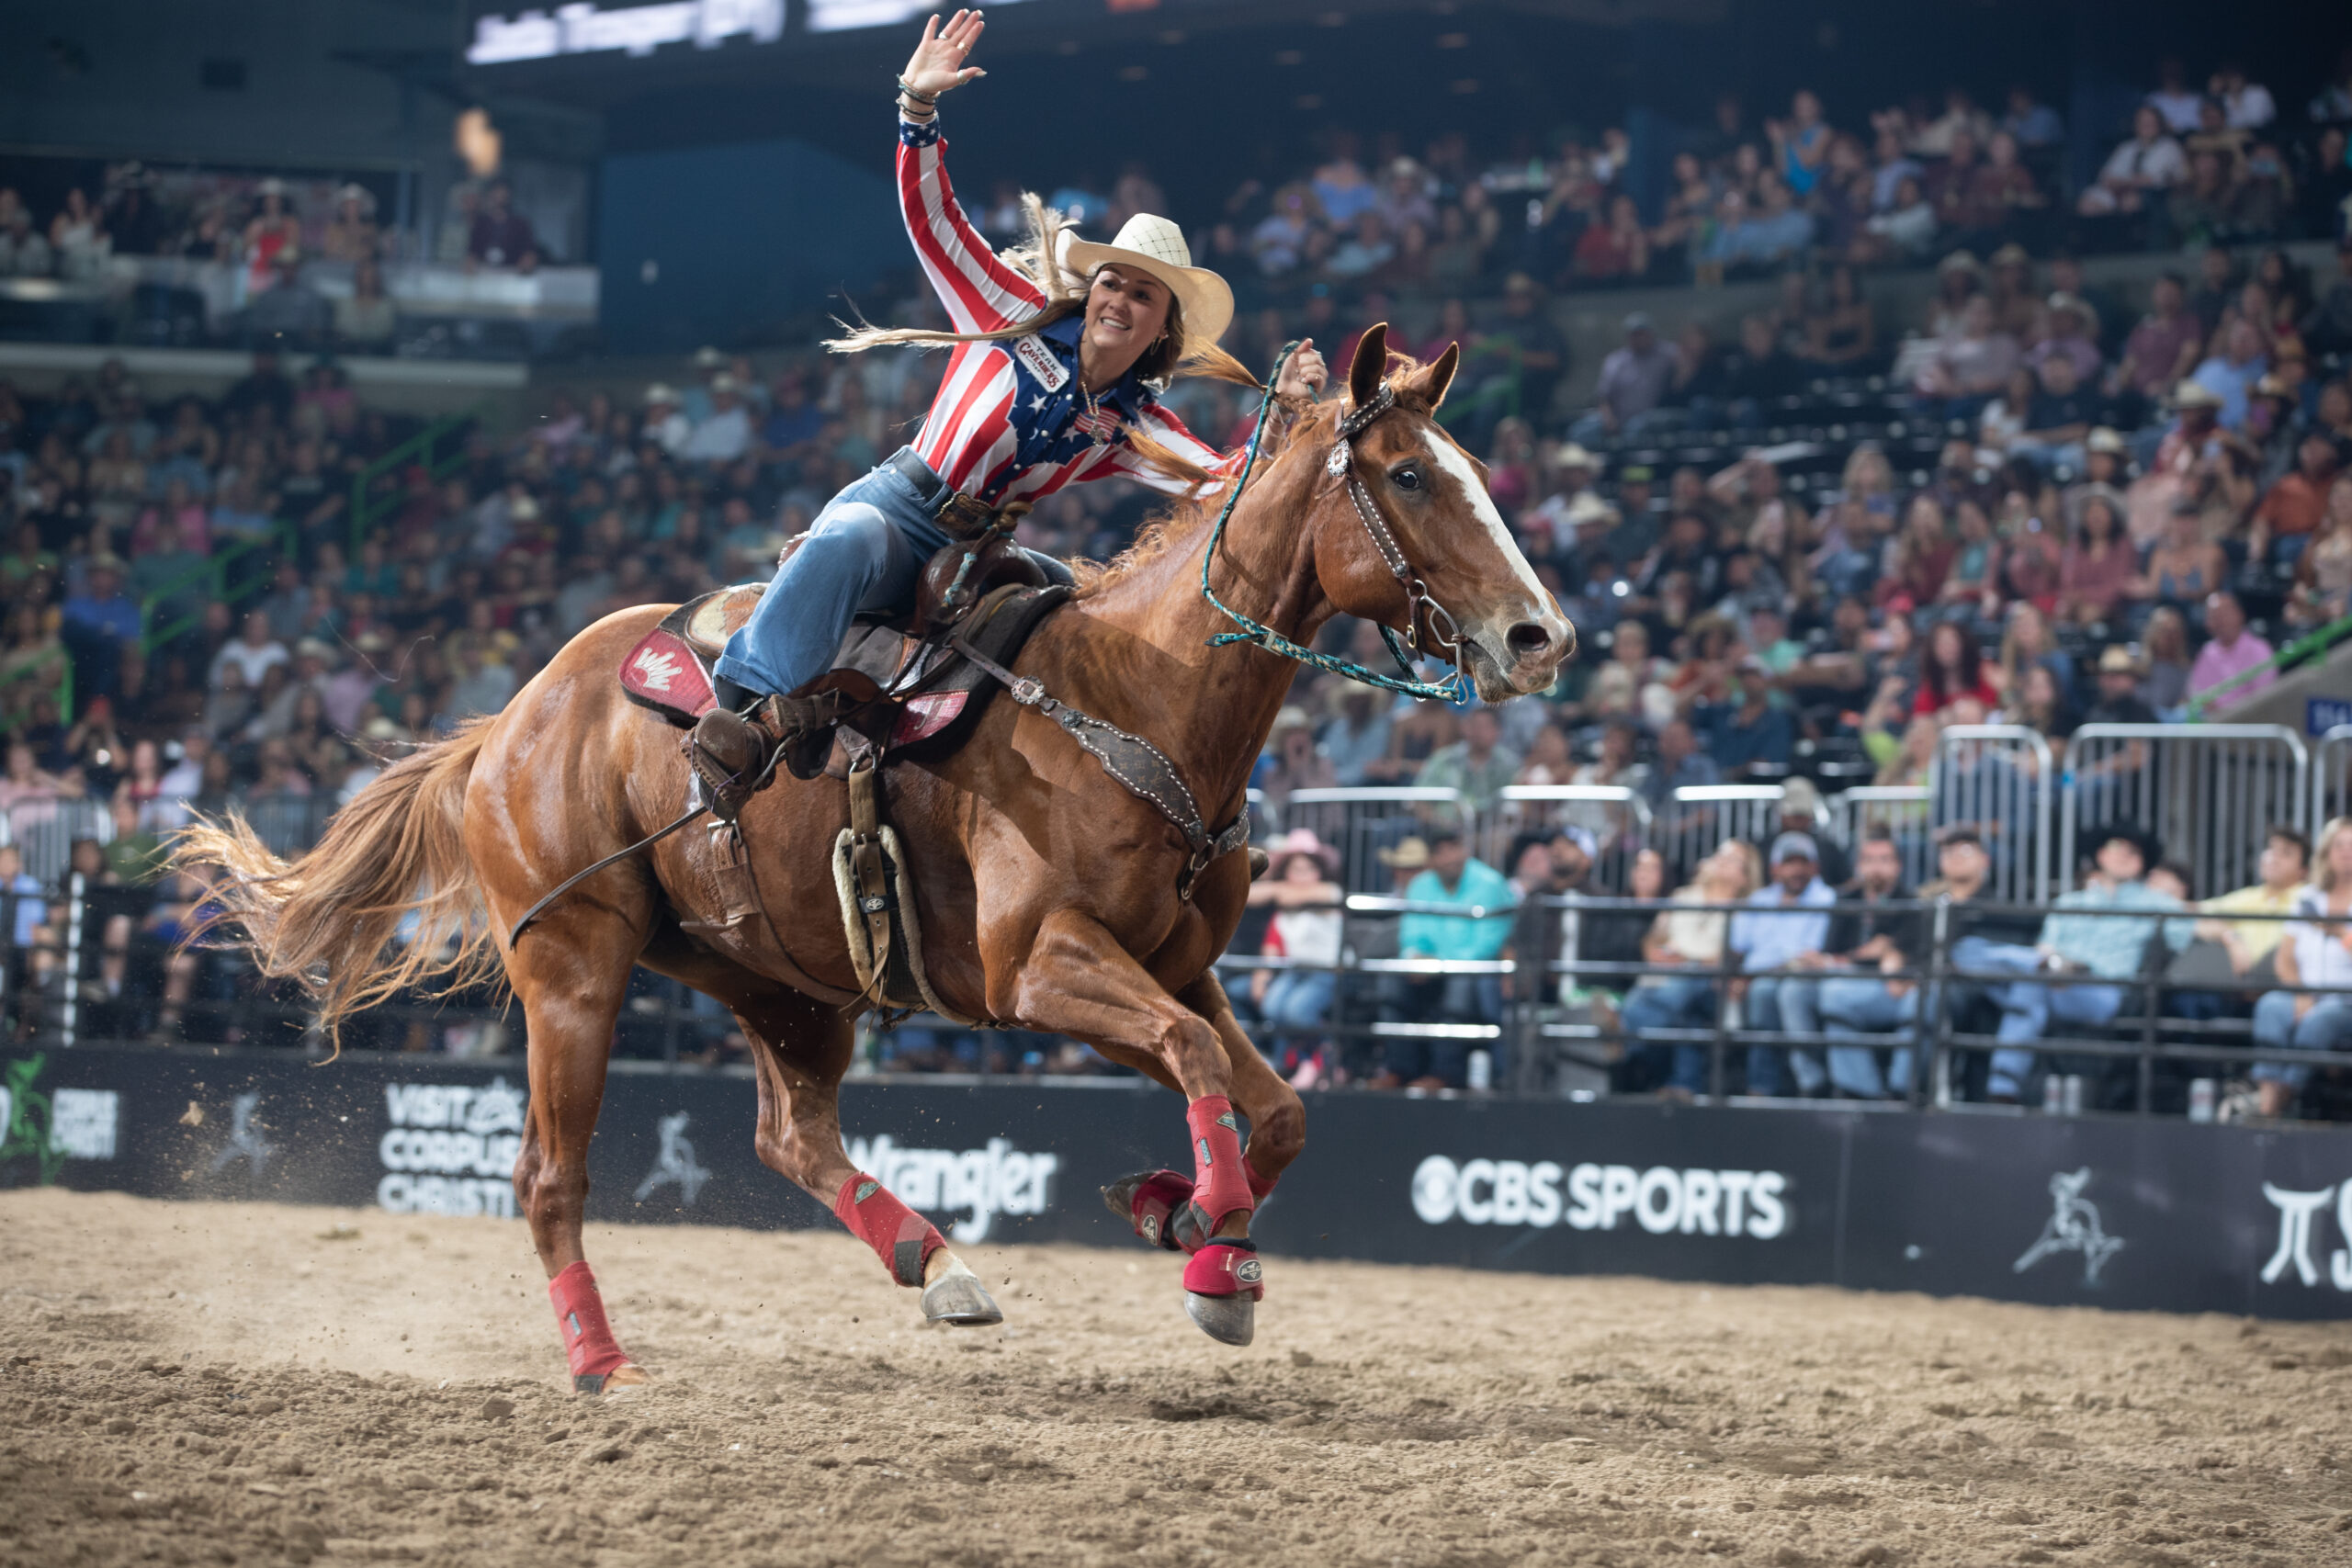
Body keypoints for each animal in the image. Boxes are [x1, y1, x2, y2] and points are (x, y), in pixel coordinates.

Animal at [178, 331, 1561, 1382]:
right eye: (1408, 474)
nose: (1537, 636)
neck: (1131, 695)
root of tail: (509, 724)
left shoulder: (1179, 963)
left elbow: (1265, 1101)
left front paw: (1189, 1227)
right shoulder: (1037, 968)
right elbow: (1192, 1060)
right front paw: (1208, 1238)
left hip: (775, 976)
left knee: (790, 1138)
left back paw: (935, 1263)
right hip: (572, 964)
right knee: (546, 1176)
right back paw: (604, 1362)